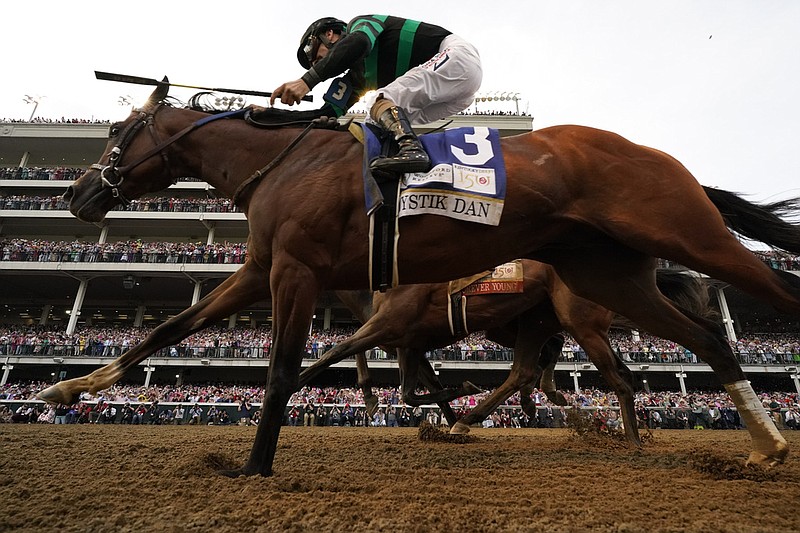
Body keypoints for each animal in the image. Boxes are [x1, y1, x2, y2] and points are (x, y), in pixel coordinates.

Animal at [40, 81, 800, 476]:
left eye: (117, 132)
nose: (77, 193)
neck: (284, 161)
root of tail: (660, 157)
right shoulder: (262, 268)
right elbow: (168, 328)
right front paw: (68, 387)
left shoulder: (298, 272)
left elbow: (288, 369)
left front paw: (254, 467)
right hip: (609, 276)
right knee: (704, 342)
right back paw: (761, 444)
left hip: (683, 240)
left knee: (765, 301)